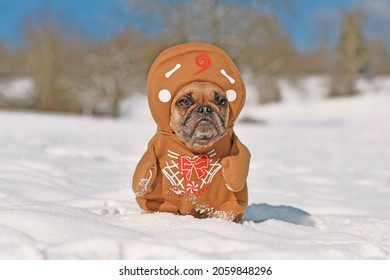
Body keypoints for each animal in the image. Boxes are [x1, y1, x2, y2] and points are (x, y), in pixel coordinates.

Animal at [133, 42, 250, 221]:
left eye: (221, 101)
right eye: (184, 101)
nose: (205, 108)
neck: (196, 149)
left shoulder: (229, 203)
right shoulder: (158, 201)